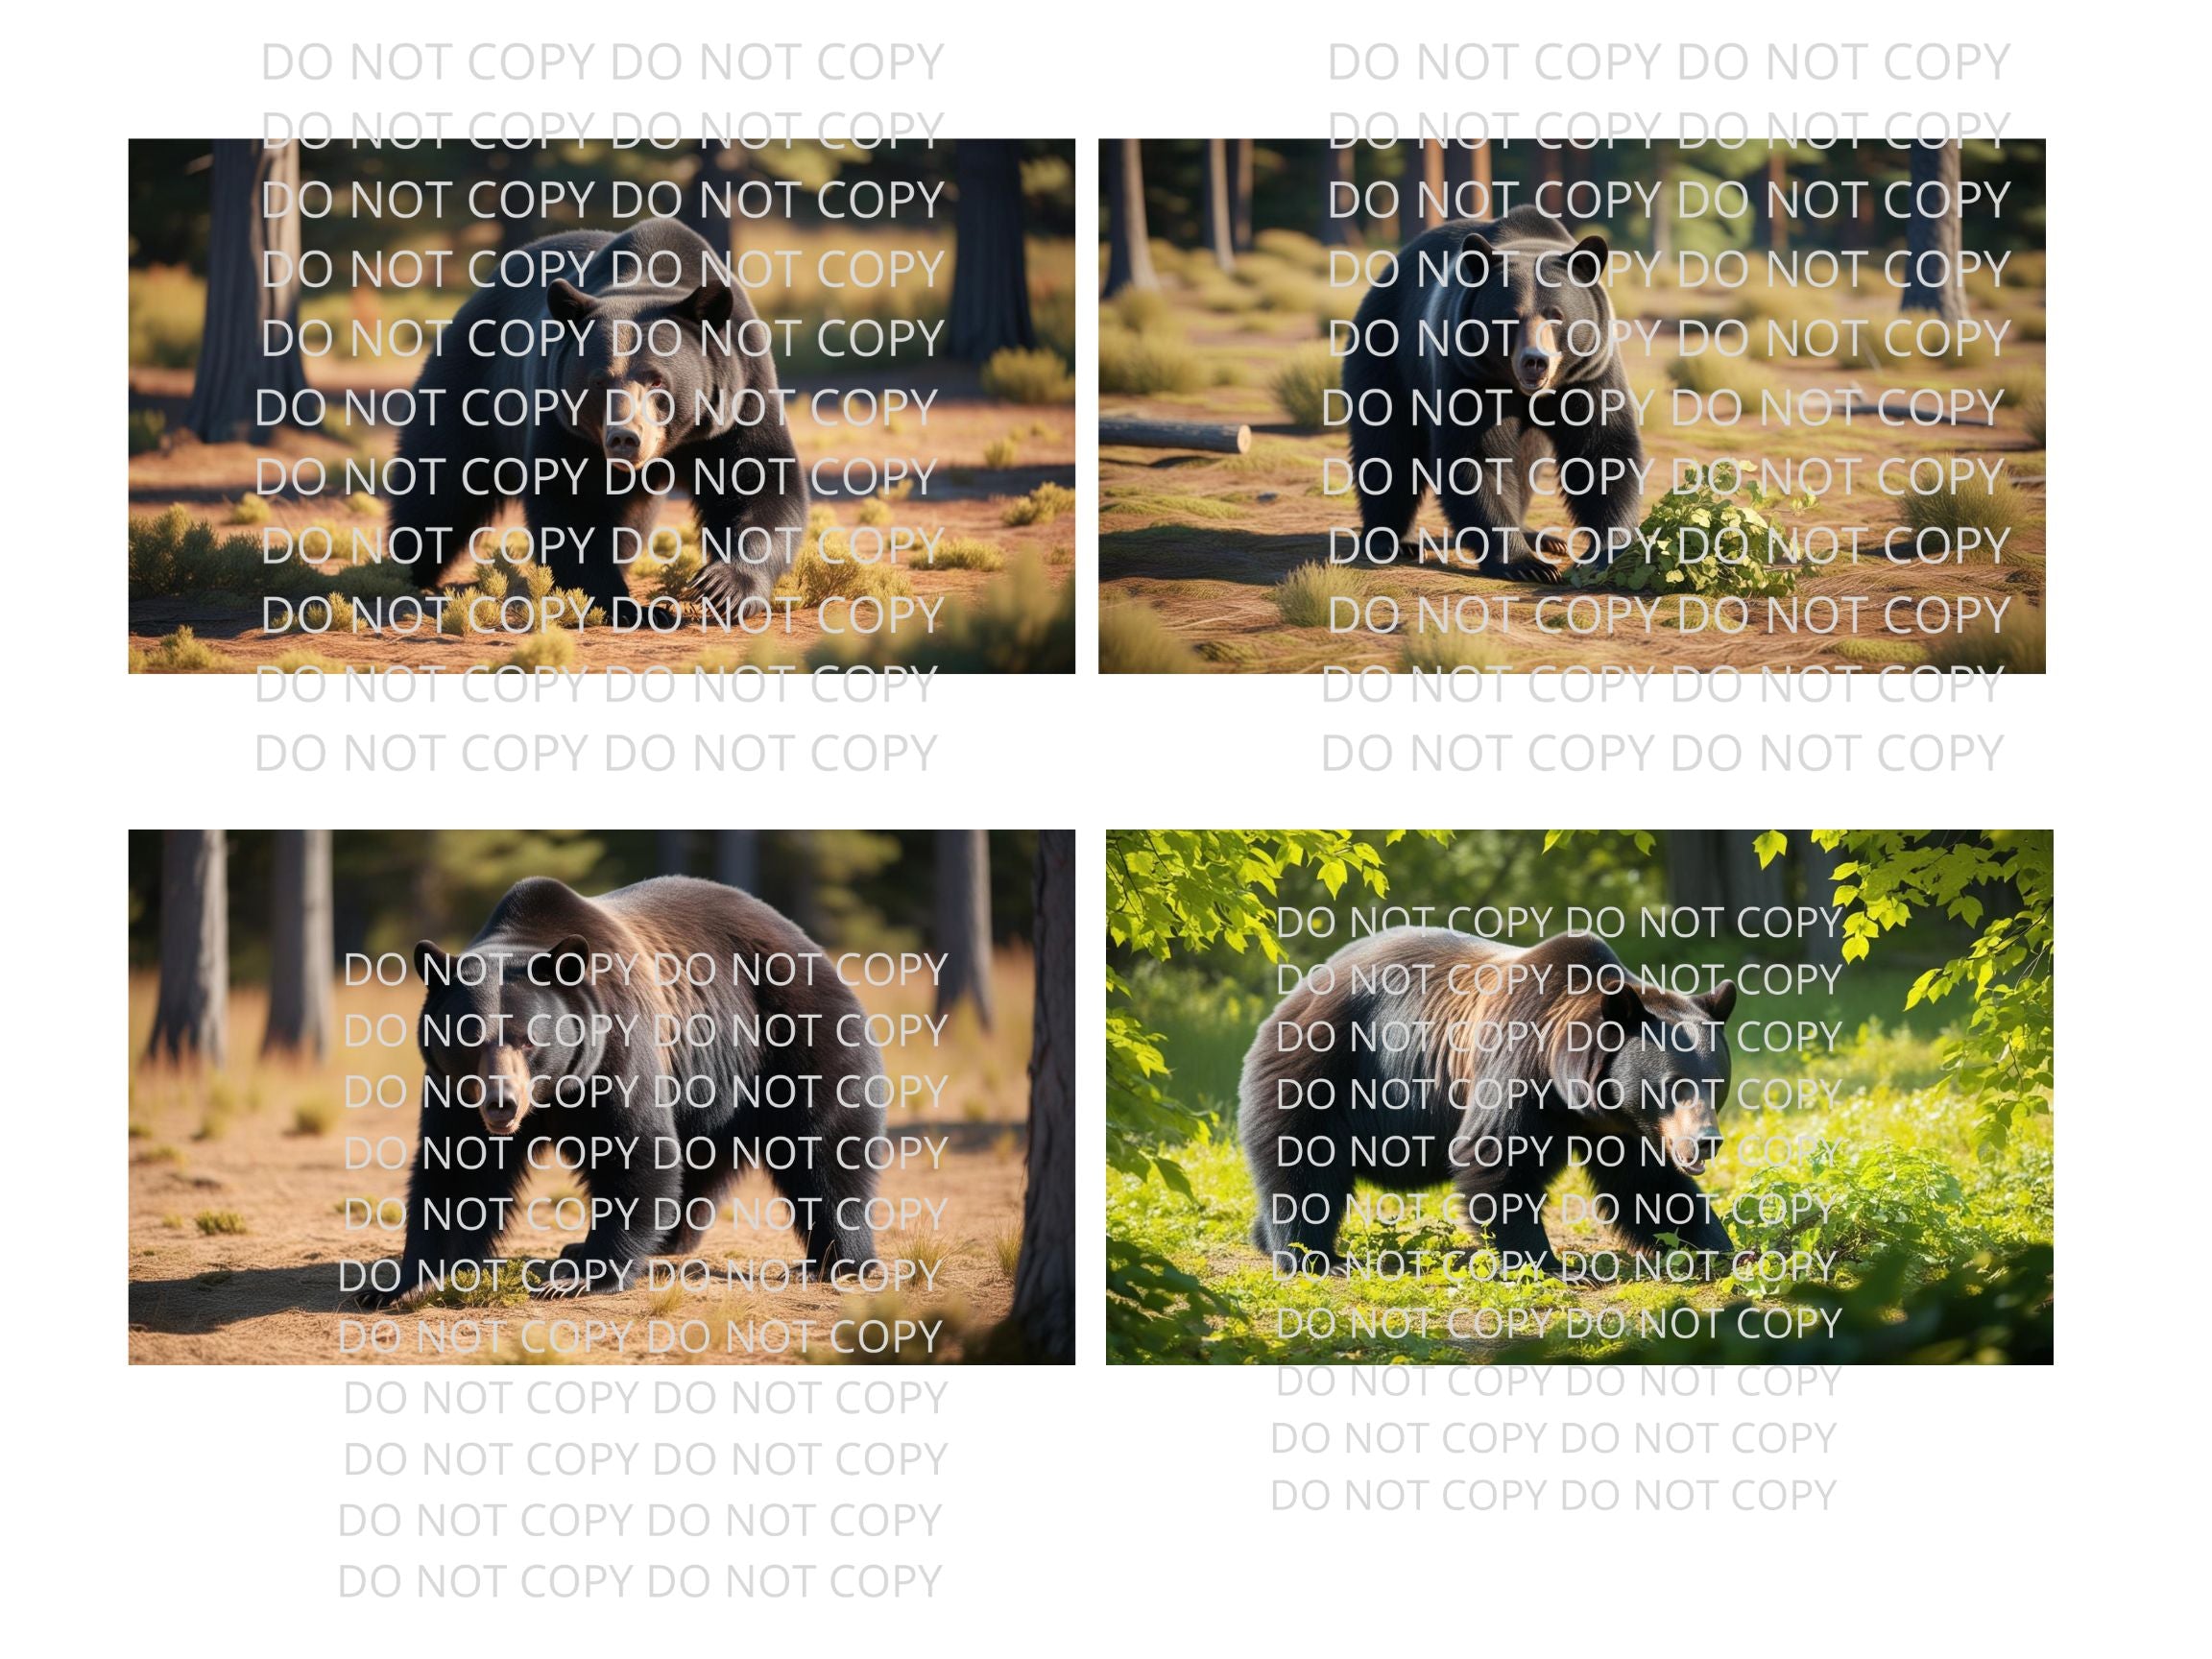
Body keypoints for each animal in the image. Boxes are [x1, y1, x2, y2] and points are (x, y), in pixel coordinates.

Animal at [354, 873, 884, 1308]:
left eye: (528, 1039)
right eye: (469, 1039)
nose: (501, 1103)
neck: (552, 1091)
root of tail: (804, 939)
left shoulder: (615, 1047)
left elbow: (635, 1151)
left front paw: (578, 1278)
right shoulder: (454, 1093)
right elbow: (455, 1171)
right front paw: (401, 1284)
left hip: (791, 1033)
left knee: (826, 1149)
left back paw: (836, 1261)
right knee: (702, 1160)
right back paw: (665, 1240)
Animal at [387, 216, 807, 619]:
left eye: (657, 380)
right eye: (600, 381)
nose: (625, 438)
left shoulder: (738, 399)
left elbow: (761, 482)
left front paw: (724, 587)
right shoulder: (565, 422)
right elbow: (570, 504)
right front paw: (627, 605)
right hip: (472, 383)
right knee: (438, 483)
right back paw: (405, 571)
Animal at [1240, 929, 1736, 1277]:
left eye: (1715, 1083)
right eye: (1674, 1085)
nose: (1705, 1141)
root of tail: (1299, 989)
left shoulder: (1621, 1124)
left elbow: (1647, 1184)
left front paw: (1721, 1246)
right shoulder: (1517, 1063)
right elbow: (1496, 1157)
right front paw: (1550, 1265)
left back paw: (1267, 1241)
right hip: (1323, 1067)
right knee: (1302, 1163)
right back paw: (1313, 1257)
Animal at [1341, 205, 1644, 582]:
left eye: (1556, 316)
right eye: (1510, 318)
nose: (1535, 362)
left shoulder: (1590, 372)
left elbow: (1603, 449)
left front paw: (1606, 552)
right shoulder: (1469, 371)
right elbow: (1475, 455)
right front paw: (1527, 564)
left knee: (1527, 458)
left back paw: (1542, 536)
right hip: (1386, 349)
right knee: (1385, 444)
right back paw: (1392, 540)